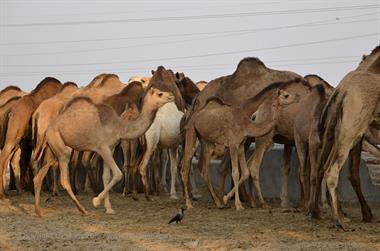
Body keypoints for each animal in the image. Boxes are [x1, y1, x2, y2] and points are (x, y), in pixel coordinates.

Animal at [33, 87, 173, 216]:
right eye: (159, 94)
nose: (171, 96)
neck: (119, 127)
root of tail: (47, 129)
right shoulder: (103, 148)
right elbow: (117, 174)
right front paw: (96, 201)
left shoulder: (110, 149)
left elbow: (106, 177)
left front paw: (109, 208)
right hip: (59, 144)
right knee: (63, 177)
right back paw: (82, 210)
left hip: (53, 148)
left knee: (40, 175)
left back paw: (39, 211)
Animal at [181, 81, 300, 209]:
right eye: (286, 95)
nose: (297, 96)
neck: (246, 125)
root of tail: (191, 114)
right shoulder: (233, 144)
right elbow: (235, 173)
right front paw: (237, 205)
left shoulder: (241, 145)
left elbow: (246, 172)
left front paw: (226, 199)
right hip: (191, 131)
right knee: (186, 165)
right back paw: (189, 204)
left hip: (206, 140)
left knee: (204, 169)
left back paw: (218, 203)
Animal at [312, 45, 380, 229]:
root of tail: (341, 91)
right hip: (351, 130)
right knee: (332, 169)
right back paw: (339, 221)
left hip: (333, 132)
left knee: (320, 167)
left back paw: (315, 213)